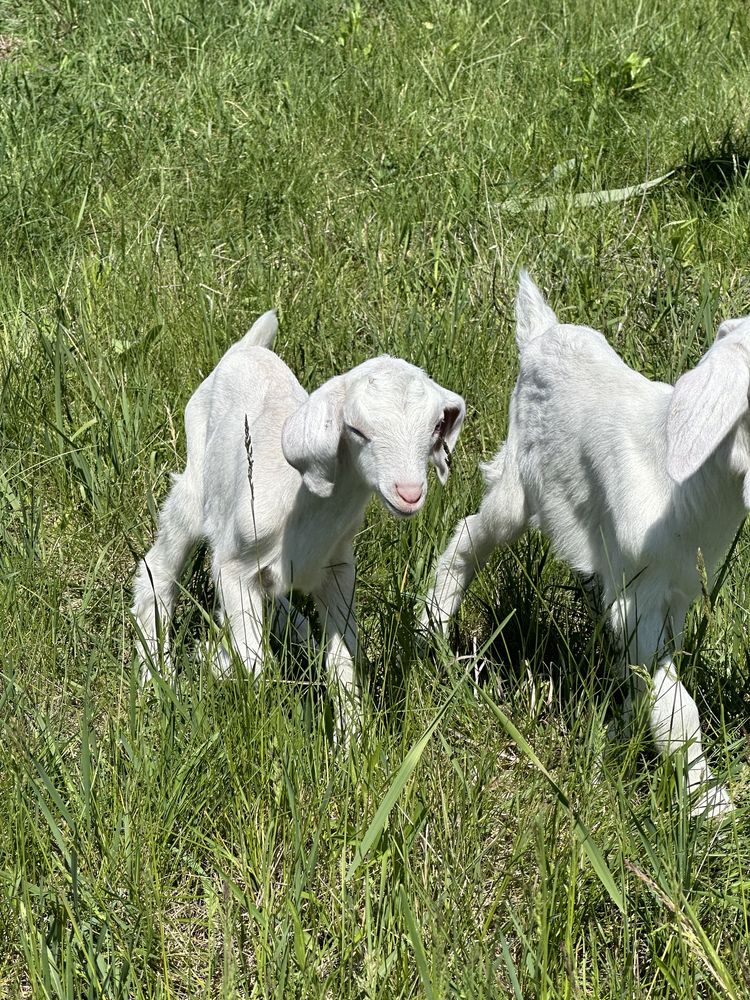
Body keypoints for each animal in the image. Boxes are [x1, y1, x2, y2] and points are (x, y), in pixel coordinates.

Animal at [134, 308, 464, 732]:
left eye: (436, 427)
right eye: (356, 429)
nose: (409, 493)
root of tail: (246, 349)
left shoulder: (338, 571)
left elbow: (341, 663)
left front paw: (352, 736)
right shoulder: (233, 567)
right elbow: (254, 661)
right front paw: (265, 725)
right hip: (193, 489)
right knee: (157, 569)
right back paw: (154, 677)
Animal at [426, 270, 748, 816]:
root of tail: (542, 334)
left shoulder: (678, 591)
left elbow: (652, 683)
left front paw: (622, 729)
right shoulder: (638, 594)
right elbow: (679, 707)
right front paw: (710, 804)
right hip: (519, 484)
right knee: (470, 535)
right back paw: (432, 624)